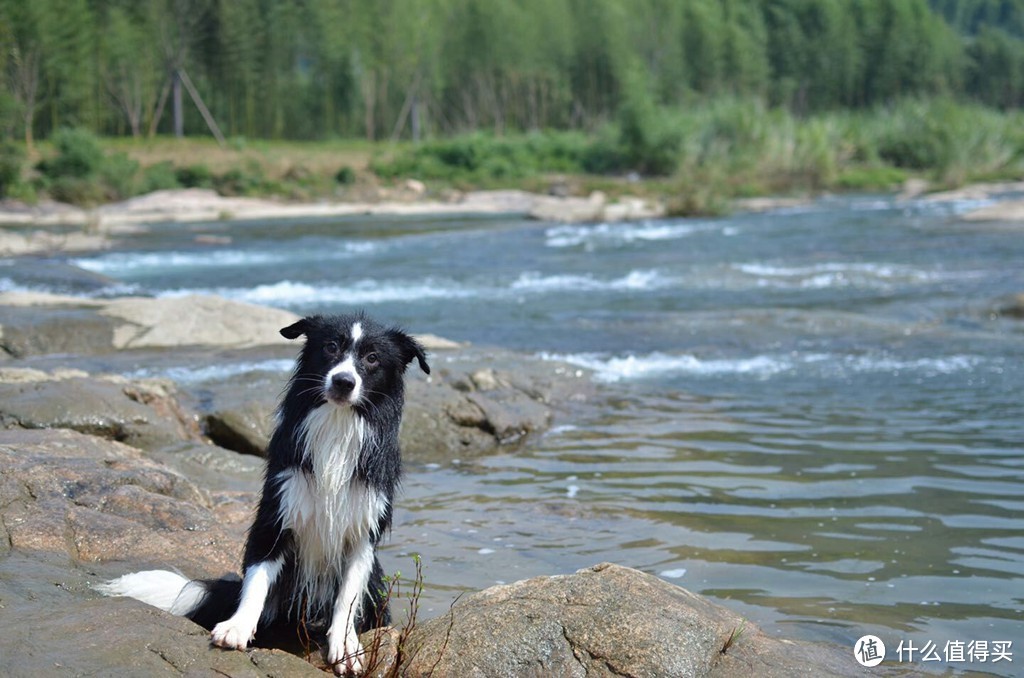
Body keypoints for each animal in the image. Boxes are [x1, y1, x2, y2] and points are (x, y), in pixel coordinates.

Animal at [96, 313, 428, 675]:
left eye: (372, 358)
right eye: (330, 347)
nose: (343, 382)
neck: (337, 428)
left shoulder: (363, 531)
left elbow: (348, 596)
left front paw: (346, 645)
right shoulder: (276, 515)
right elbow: (257, 580)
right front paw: (238, 627)